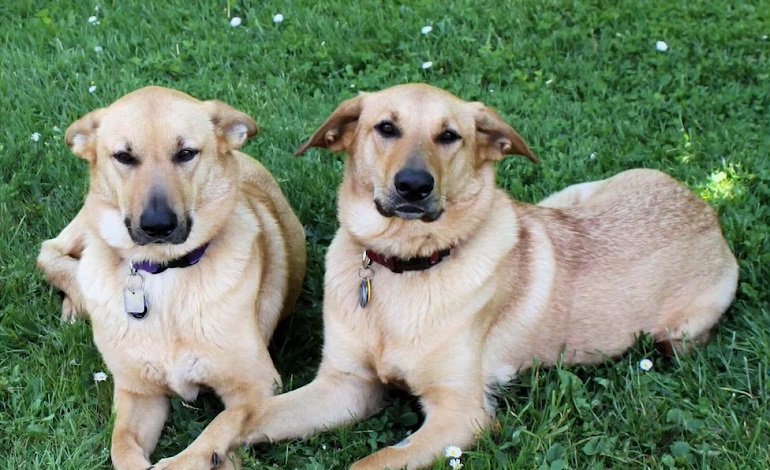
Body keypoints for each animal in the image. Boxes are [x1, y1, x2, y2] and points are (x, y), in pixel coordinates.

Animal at [36, 86, 304, 468]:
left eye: (186, 153)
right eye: (124, 157)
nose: (157, 226)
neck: (164, 271)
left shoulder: (257, 384)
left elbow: (223, 423)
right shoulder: (137, 393)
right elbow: (121, 446)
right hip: (85, 220)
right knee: (49, 252)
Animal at [153, 84, 736, 470]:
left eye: (450, 136)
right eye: (385, 127)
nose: (414, 185)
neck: (401, 270)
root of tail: (705, 206)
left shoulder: (461, 415)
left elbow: (370, 462)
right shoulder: (346, 385)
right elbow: (240, 416)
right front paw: (190, 457)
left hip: (675, 334)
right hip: (570, 195)